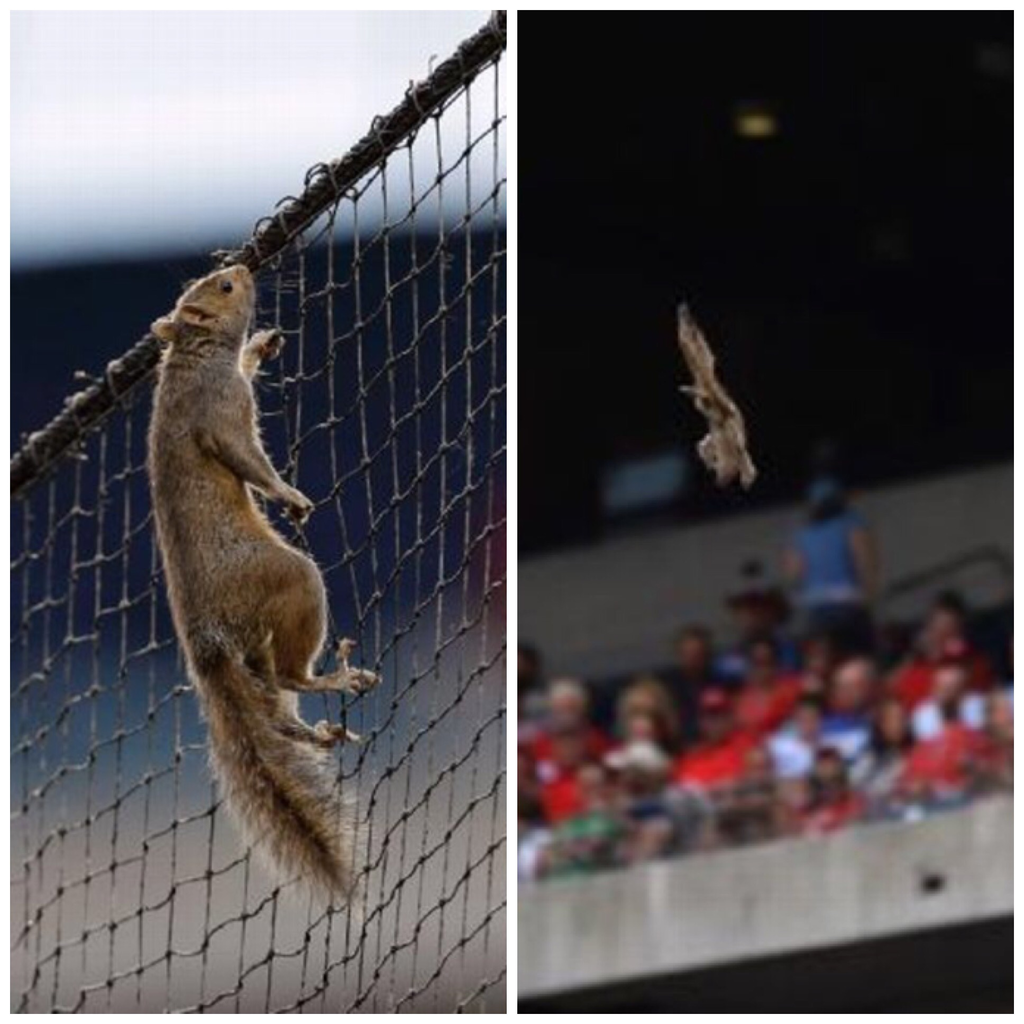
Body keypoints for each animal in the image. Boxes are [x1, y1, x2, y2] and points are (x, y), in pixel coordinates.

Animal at [146, 264, 380, 906]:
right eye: (223, 289)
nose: (242, 269)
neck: (193, 356)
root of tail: (208, 643)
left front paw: (260, 346)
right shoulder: (222, 412)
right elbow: (247, 460)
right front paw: (290, 496)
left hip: (257, 647)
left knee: (273, 705)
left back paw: (312, 734)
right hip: (291, 585)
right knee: (288, 676)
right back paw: (334, 678)